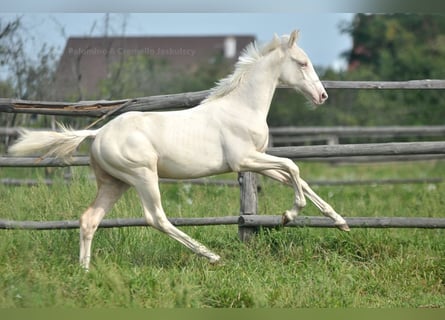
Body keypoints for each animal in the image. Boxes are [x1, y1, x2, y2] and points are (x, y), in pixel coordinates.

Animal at [10, 30, 348, 270]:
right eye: (302, 63)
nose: (322, 95)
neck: (242, 107)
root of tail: (98, 132)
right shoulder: (244, 160)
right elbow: (293, 165)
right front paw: (289, 215)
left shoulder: (258, 161)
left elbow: (296, 176)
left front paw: (339, 221)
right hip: (143, 176)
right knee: (156, 218)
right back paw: (211, 256)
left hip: (114, 183)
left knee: (89, 219)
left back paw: (85, 270)